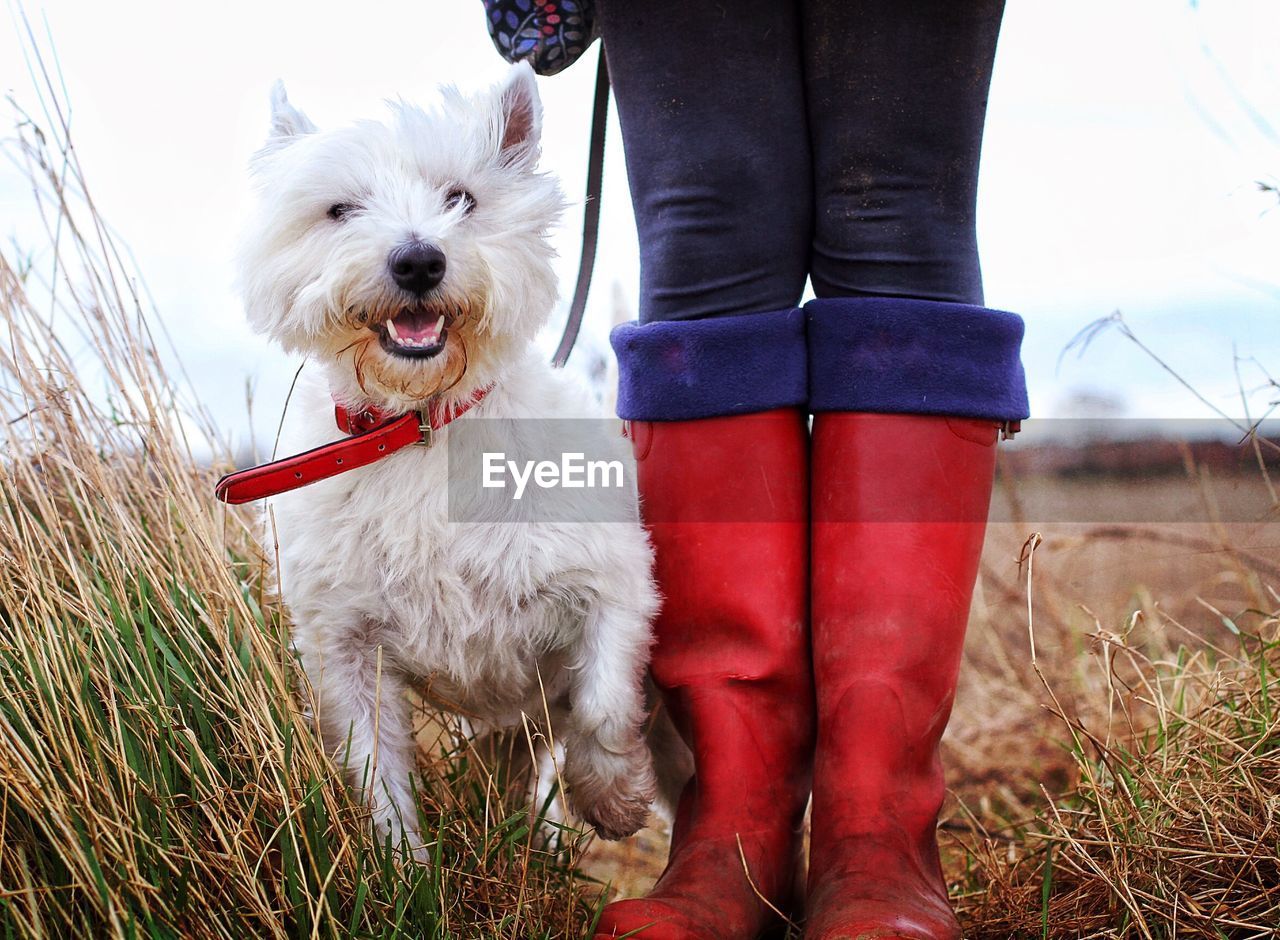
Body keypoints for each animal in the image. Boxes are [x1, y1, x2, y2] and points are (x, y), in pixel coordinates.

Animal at [234, 64, 665, 855]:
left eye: (461, 198)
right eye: (340, 209)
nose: (418, 260)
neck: (421, 425)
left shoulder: (612, 583)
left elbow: (602, 702)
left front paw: (613, 797)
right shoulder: (346, 644)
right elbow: (373, 772)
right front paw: (401, 866)